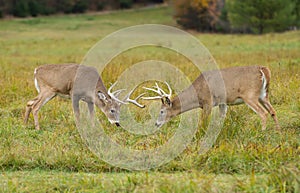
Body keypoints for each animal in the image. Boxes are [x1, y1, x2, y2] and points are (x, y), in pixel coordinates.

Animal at [142, 65, 280, 130]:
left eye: (161, 111)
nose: (156, 123)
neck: (197, 93)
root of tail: (263, 69)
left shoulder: (207, 101)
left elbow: (204, 122)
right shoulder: (222, 102)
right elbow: (220, 119)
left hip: (250, 95)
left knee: (263, 113)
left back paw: (262, 131)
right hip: (264, 95)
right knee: (273, 111)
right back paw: (278, 132)